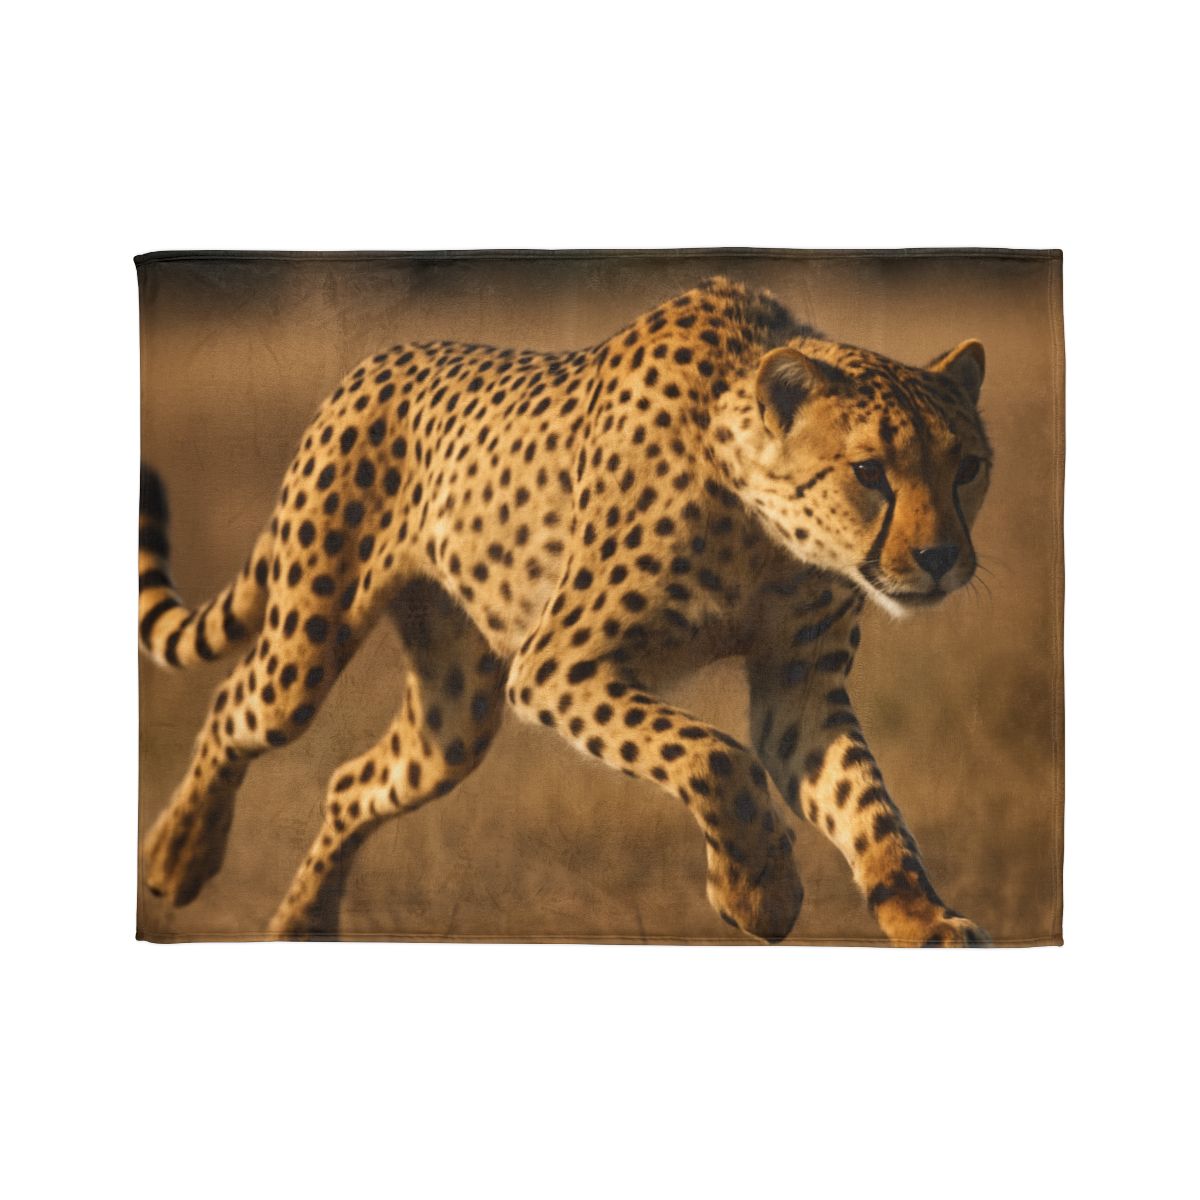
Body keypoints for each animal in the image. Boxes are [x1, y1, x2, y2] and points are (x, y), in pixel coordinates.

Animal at [138, 275, 992, 945]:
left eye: (969, 468)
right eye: (870, 472)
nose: (940, 558)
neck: (765, 528)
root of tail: (375, 360)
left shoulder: (800, 688)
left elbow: (868, 807)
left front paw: (923, 919)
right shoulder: (558, 664)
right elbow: (716, 757)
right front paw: (758, 893)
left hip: (454, 714)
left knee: (356, 781)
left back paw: (303, 923)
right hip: (308, 640)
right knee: (235, 705)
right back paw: (179, 855)